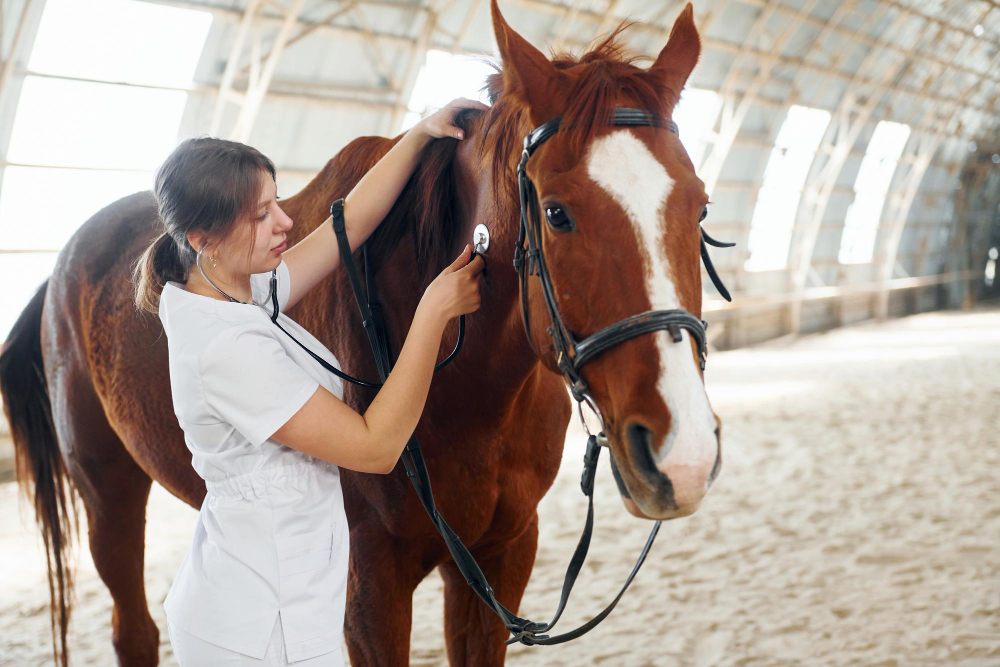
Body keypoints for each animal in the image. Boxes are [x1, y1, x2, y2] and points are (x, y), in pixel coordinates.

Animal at [0, 2, 720, 664]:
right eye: (556, 212)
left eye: (701, 207)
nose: (682, 455)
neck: (466, 392)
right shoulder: (368, 585)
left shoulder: (502, 556)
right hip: (108, 494)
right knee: (135, 628)